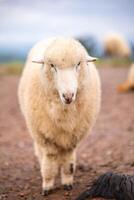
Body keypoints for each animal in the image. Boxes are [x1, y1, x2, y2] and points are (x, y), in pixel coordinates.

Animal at [18, 36, 101, 195]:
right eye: (52, 66)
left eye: (78, 64)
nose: (68, 96)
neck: (64, 111)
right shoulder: (45, 137)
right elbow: (49, 160)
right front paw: (47, 185)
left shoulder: (73, 136)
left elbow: (68, 162)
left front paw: (67, 182)